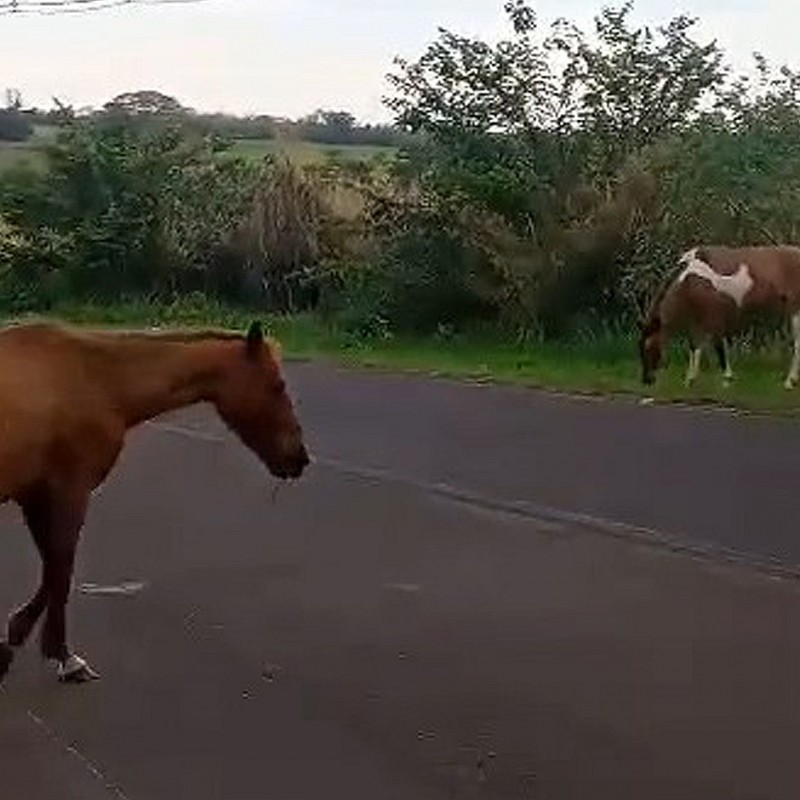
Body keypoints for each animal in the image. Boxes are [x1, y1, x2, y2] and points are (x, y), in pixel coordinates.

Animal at [0, 318, 310, 680]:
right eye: (277, 385)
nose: (299, 458)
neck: (96, 380)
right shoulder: (69, 491)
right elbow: (61, 570)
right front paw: (63, 656)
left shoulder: (36, 495)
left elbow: (52, 568)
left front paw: (18, 637)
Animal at [640, 245, 800, 390]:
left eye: (647, 347)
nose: (647, 380)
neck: (689, 280)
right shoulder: (697, 320)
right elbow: (694, 346)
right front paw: (690, 378)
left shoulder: (713, 317)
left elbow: (716, 347)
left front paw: (725, 378)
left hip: (795, 311)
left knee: (797, 343)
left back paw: (790, 381)